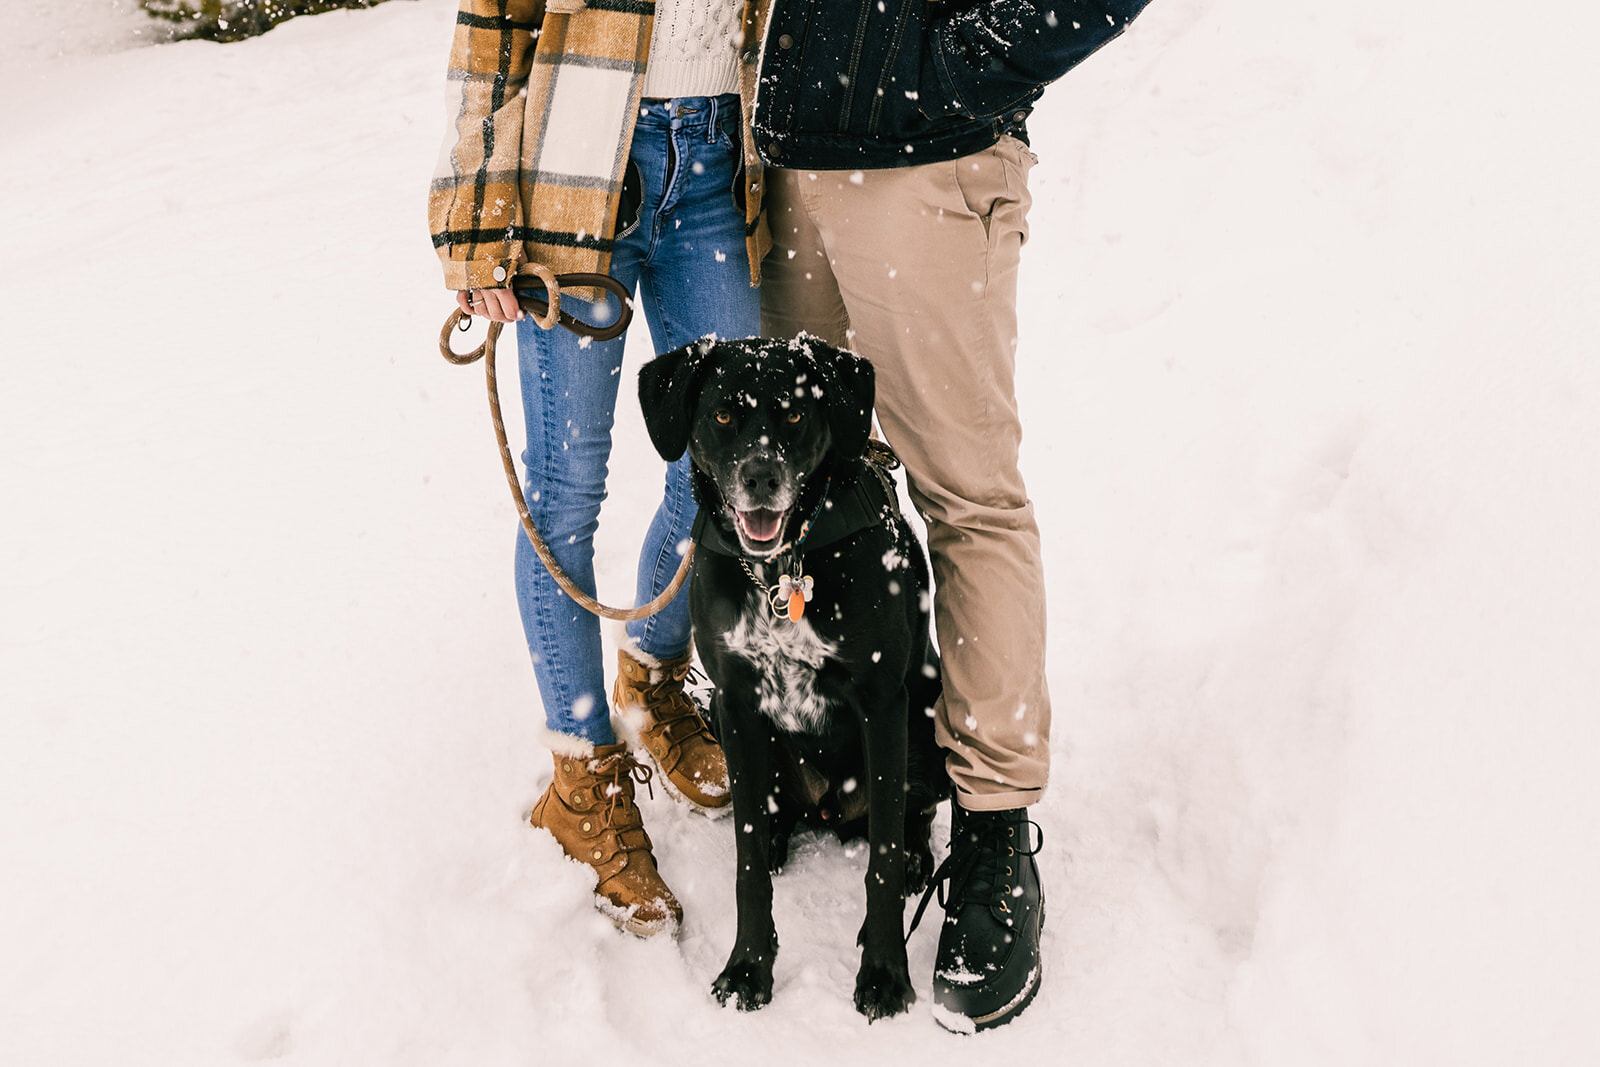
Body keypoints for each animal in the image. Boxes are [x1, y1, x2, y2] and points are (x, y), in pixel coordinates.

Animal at [633, 337, 940, 1023]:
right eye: (722, 414)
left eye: (796, 414)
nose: (760, 478)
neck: (783, 569)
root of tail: (829, 808)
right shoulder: (738, 704)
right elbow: (746, 865)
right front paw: (748, 968)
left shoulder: (882, 702)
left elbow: (880, 861)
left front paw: (884, 974)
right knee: (775, 817)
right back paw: (779, 837)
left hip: (930, 718)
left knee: (914, 816)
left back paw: (915, 857)